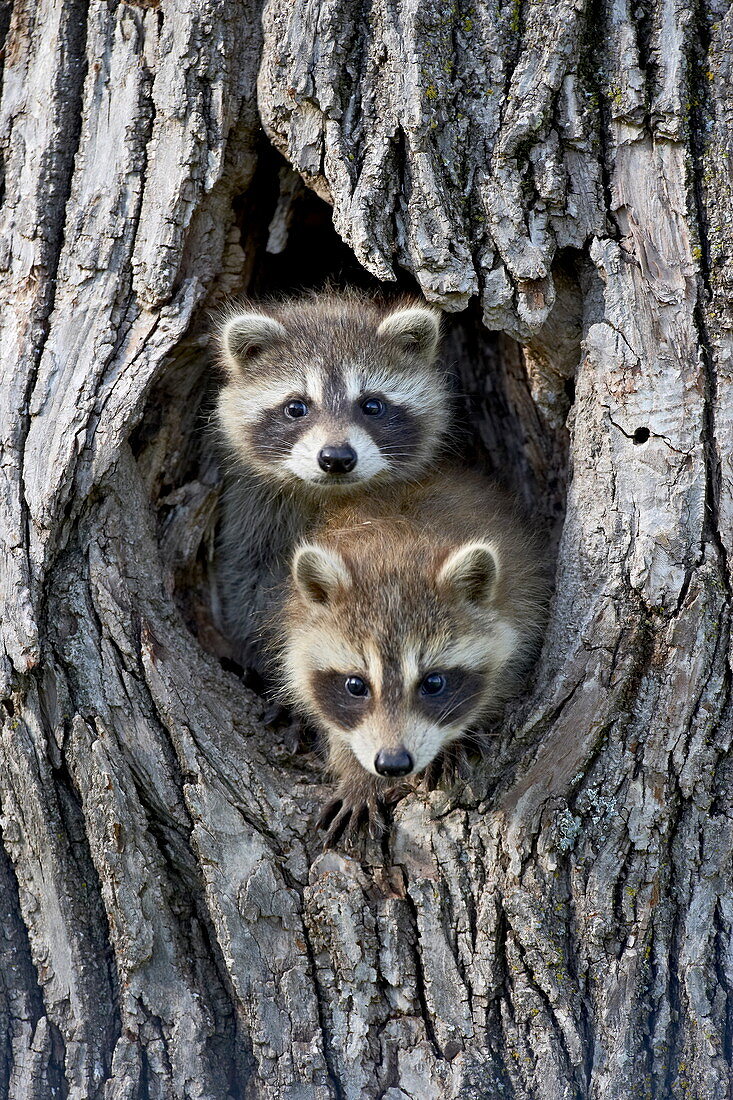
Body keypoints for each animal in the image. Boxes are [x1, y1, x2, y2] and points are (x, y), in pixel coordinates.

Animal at [214, 294, 449, 668]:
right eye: (296, 407)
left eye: (372, 405)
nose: (336, 458)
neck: (331, 496)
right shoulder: (255, 512)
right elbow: (248, 573)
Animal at [275, 466, 548, 840]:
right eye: (356, 685)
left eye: (433, 683)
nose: (392, 764)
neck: (396, 548)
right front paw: (357, 774)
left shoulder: (522, 601)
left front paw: (454, 738)